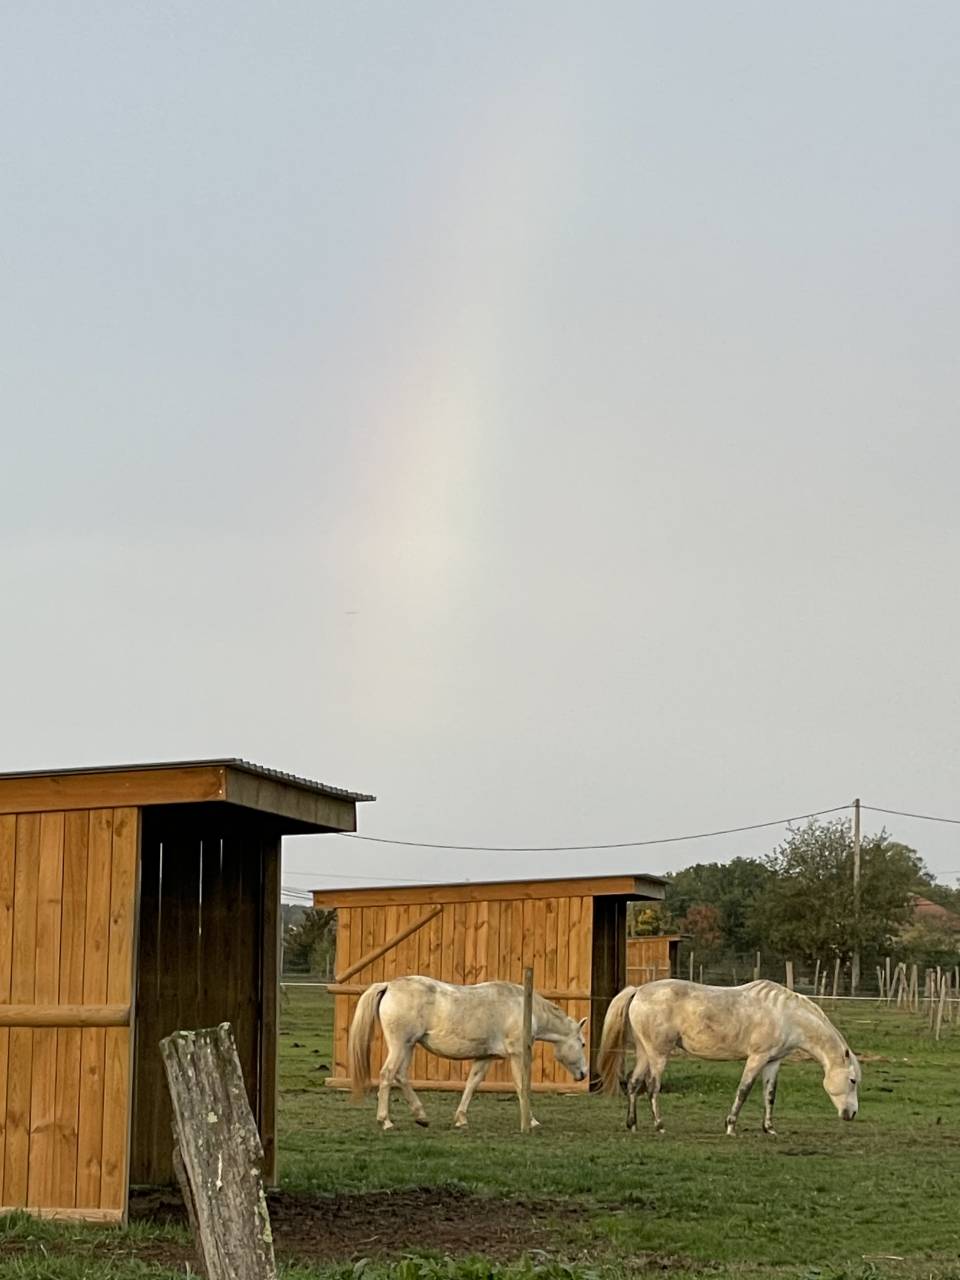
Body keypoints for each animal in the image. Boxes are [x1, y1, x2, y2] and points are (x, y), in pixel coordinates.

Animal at [348, 975, 588, 1131]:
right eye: (583, 1043)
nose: (584, 1074)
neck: (524, 1008)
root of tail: (389, 985)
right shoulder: (518, 1054)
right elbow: (522, 1086)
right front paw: (531, 1121)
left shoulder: (485, 1057)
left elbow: (472, 1084)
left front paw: (461, 1118)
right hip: (400, 1045)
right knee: (387, 1075)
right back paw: (386, 1121)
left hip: (408, 1046)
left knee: (400, 1076)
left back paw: (421, 1116)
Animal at [597, 978, 860, 1136]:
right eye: (852, 1080)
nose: (852, 1114)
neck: (785, 1015)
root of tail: (638, 990)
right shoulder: (756, 1058)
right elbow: (743, 1090)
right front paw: (731, 1126)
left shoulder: (773, 1062)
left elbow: (769, 1095)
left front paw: (769, 1128)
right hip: (658, 1054)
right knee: (652, 1087)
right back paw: (659, 1125)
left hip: (645, 1051)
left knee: (633, 1084)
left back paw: (632, 1125)